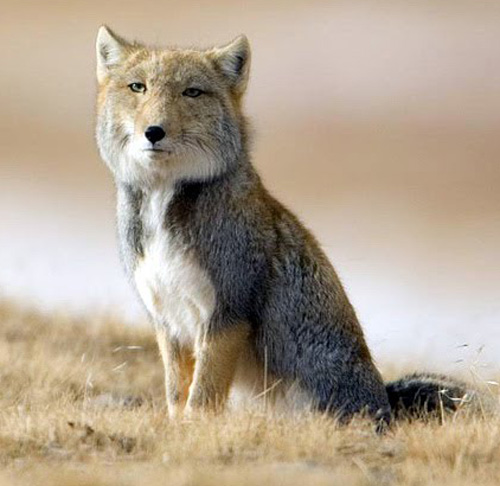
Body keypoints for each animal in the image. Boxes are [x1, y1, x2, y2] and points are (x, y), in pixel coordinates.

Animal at [94, 26, 472, 428]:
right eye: (138, 87)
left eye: (191, 92)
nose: (154, 132)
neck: (163, 204)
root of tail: (385, 405)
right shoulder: (168, 321)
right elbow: (176, 395)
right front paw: (177, 427)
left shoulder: (227, 312)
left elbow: (202, 397)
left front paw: (193, 429)